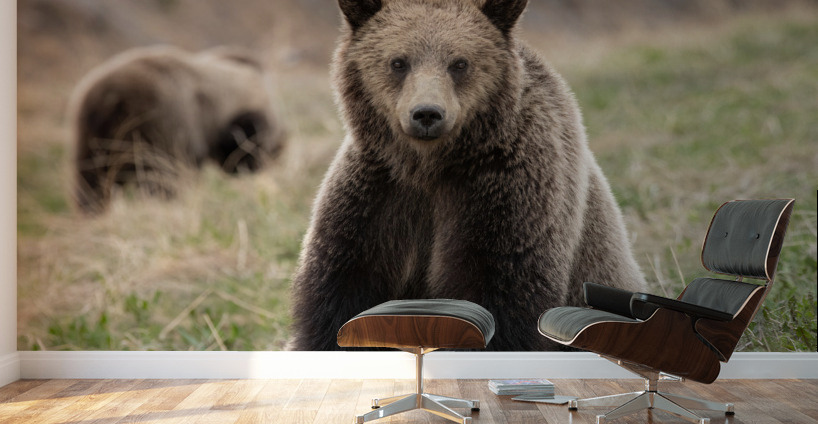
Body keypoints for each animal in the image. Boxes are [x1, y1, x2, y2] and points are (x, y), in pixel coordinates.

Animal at [68, 45, 286, 214]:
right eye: (267, 144)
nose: (275, 155)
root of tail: (109, 99)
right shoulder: (174, 133)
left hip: (89, 136)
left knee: (90, 182)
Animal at [288, 0, 646, 351]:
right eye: (398, 62)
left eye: (459, 63)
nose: (427, 113)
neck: (431, 166)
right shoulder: (377, 193)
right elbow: (339, 294)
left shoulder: (506, 193)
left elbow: (500, 296)